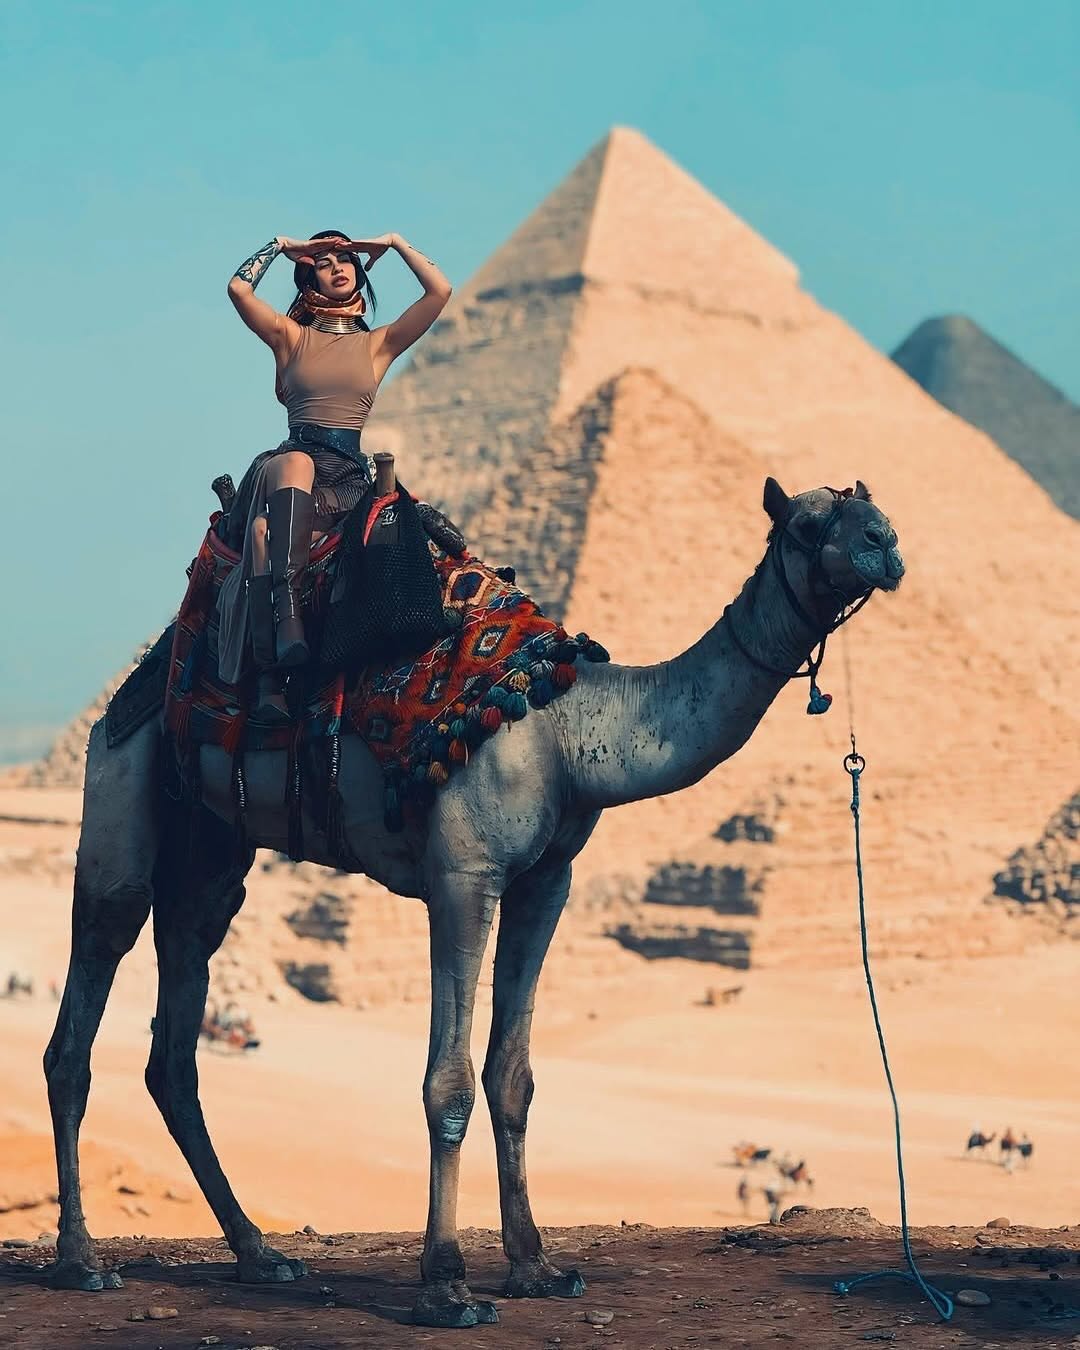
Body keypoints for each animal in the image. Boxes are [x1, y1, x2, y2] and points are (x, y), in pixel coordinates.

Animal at [43, 477, 903, 1329]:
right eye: (807, 524)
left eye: (870, 508)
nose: (887, 545)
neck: (567, 730)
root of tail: (139, 682)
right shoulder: (464, 874)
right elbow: (447, 1082)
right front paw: (448, 1283)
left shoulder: (546, 881)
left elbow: (512, 1076)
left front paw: (537, 1266)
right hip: (121, 786)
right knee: (84, 1006)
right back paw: (81, 1260)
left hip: (212, 854)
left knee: (175, 1036)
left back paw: (259, 1254)